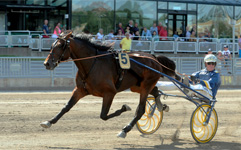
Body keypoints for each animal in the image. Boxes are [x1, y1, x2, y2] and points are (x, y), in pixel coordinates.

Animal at [41, 31, 177, 138]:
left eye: (60, 46)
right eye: (52, 45)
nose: (47, 63)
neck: (93, 63)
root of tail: (154, 58)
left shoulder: (110, 93)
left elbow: (103, 115)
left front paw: (124, 108)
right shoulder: (80, 90)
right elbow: (66, 107)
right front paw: (49, 122)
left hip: (145, 86)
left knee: (141, 110)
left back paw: (125, 130)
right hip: (137, 86)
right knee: (156, 91)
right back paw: (161, 105)